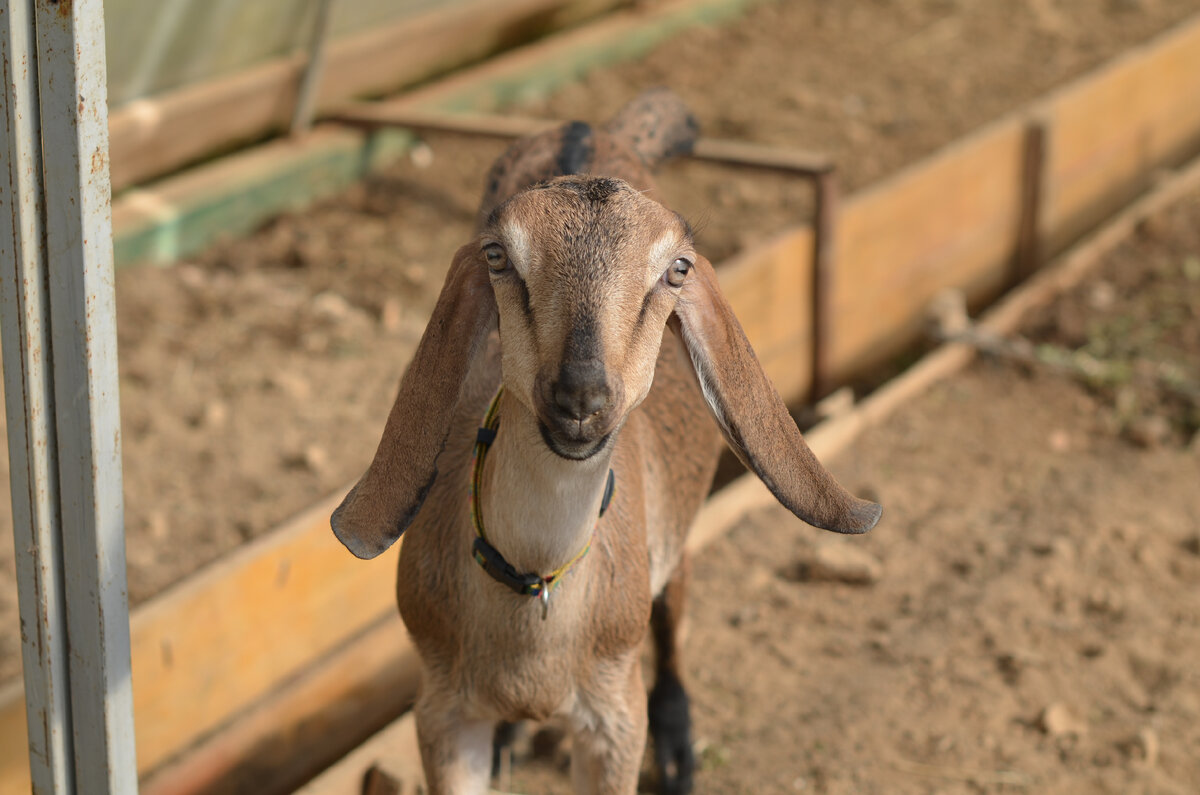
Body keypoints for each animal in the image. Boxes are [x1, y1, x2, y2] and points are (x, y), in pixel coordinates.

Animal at [331, 90, 883, 792]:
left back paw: (677, 751)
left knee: (674, 614)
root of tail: (594, 130)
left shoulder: (613, 718)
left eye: (677, 269)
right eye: (497, 256)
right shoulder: (442, 714)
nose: (581, 397)